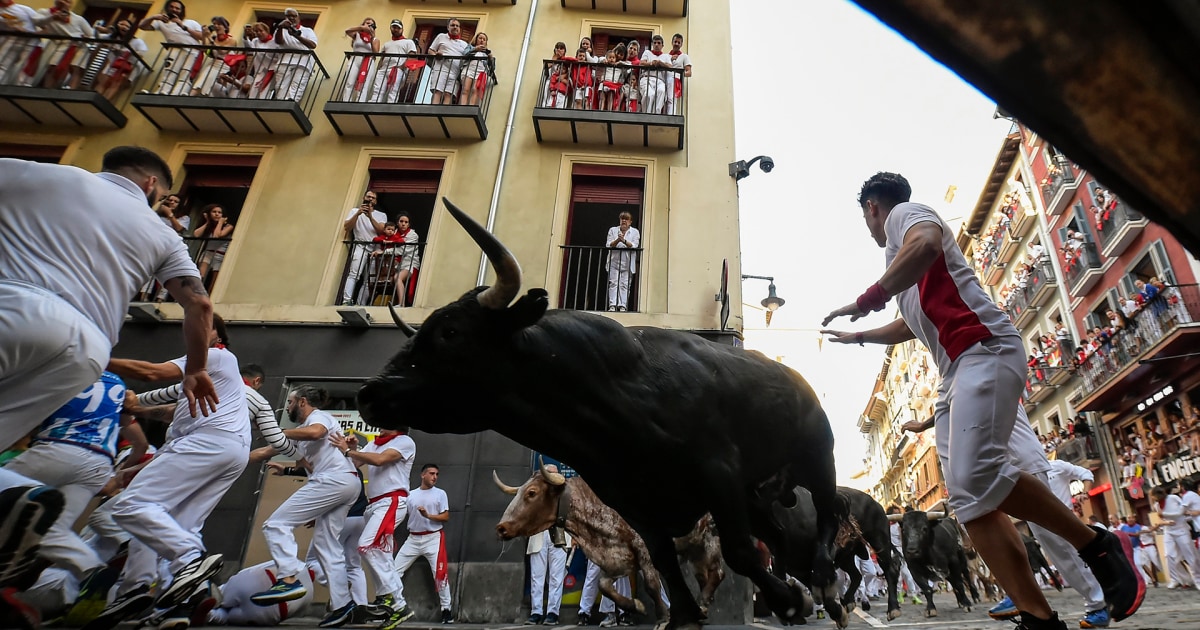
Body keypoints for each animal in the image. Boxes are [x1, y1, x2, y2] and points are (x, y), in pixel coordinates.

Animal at [494, 463, 720, 619]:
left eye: (532, 492)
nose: (501, 527)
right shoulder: (615, 558)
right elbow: (603, 586)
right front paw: (635, 606)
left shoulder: (645, 551)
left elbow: (652, 584)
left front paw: (663, 618)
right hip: (694, 550)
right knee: (705, 577)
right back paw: (702, 607)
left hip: (710, 542)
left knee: (718, 573)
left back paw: (701, 604)